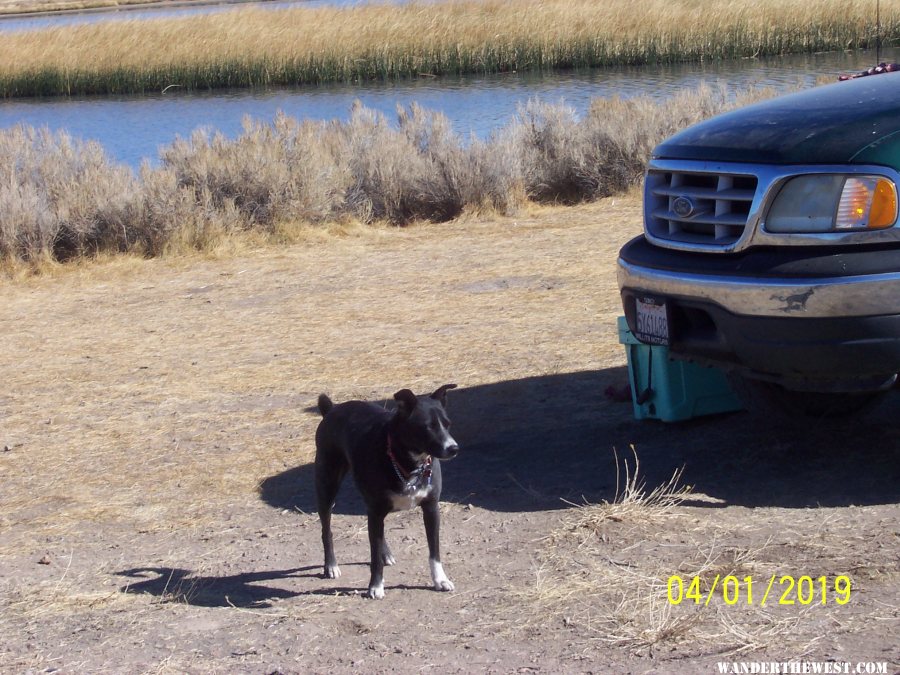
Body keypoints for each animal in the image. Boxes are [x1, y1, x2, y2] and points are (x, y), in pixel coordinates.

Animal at [314, 382, 458, 600]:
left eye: (447, 424)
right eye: (428, 427)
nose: (453, 448)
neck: (408, 463)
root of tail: (331, 409)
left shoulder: (431, 508)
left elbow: (435, 552)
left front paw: (440, 580)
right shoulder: (375, 510)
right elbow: (374, 558)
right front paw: (375, 586)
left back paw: (386, 553)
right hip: (327, 487)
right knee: (326, 530)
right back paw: (330, 565)